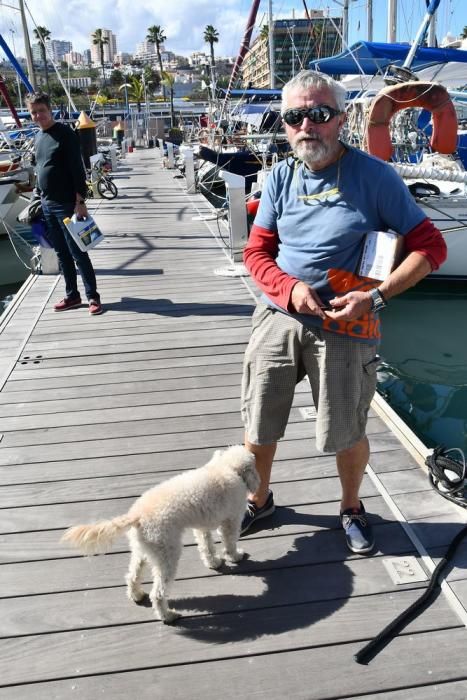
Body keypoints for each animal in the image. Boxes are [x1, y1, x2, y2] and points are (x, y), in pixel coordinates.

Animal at [61, 446, 260, 620]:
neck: (226, 467)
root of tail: (137, 515)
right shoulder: (231, 520)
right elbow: (229, 542)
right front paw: (235, 556)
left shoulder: (202, 527)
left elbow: (206, 547)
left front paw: (214, 562)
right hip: (167, 554)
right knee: (157, 594)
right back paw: (167, 616)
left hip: (144, 550)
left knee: (132, 575)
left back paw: (136, 595)